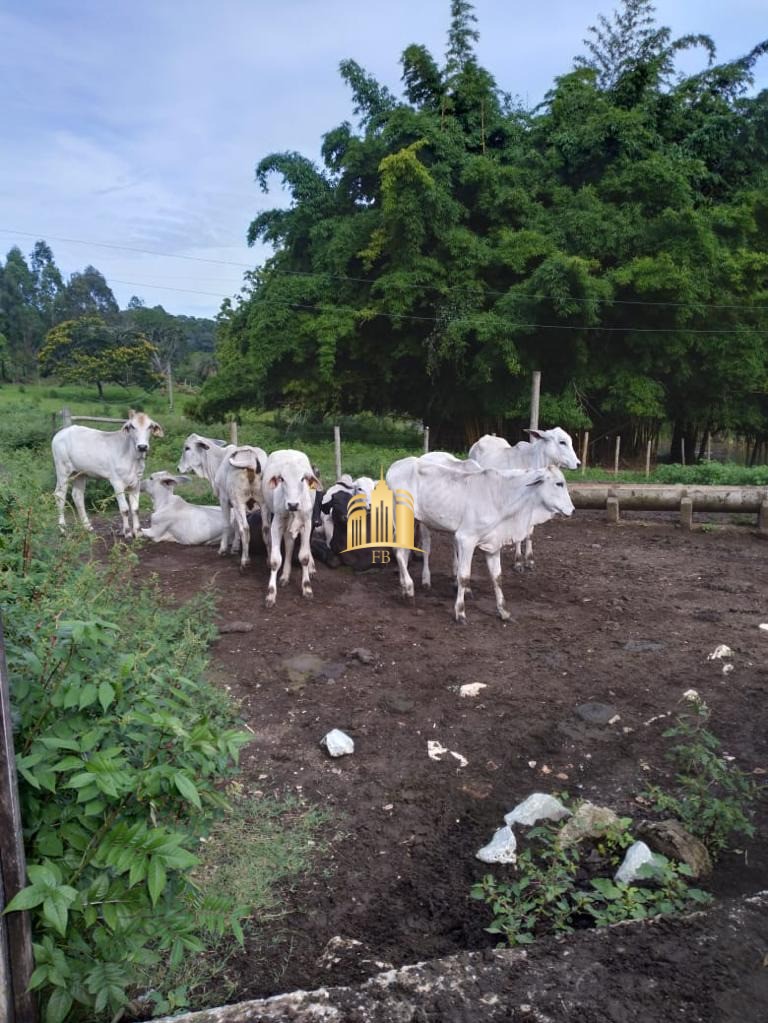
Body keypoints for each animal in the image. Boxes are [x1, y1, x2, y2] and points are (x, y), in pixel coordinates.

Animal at [53, 407, 164, 540]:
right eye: (132, 426)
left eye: (150, 426)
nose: (142, 446)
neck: (132, 457)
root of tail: (61, 432)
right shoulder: (117, 482)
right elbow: (124, 509)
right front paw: (127, 532)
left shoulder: (136, 482)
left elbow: (135, 509)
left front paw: (138, 532)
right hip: (62, 470)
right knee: (59, 495)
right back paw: (63, 529)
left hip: (80, 473)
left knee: (77, 496)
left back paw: (87, 527)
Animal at [263, 450, 321, 605]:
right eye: (282, 479)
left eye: (302, 479)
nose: (292, 504)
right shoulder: (276, 523)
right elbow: (275, 560)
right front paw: (271, 593)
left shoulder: (307, 522)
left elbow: (304, 557)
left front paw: (307, 588)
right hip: (266, 509)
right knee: (287, 544)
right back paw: (285, 575)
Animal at [386, 458, 572, 621]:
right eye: (559, 483)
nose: (572, 509)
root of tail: (394, 467)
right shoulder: (466, 539)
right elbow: (463, 576)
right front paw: (460, 612)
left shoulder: (494, 543)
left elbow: (497, 577)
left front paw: (503, 611)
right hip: (401, 517)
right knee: (400, 552)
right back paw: (410, 589)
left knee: (403, 551)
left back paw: (404, 588)